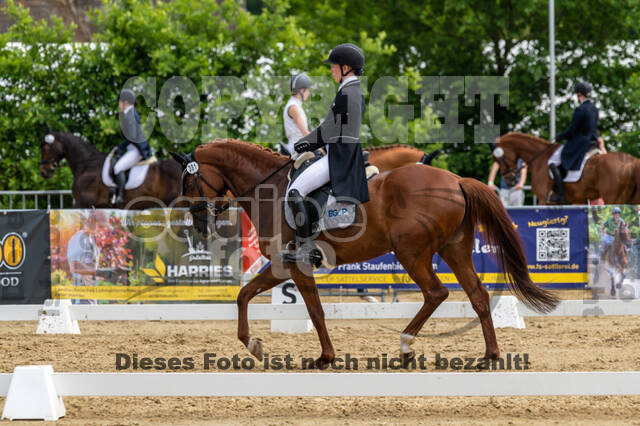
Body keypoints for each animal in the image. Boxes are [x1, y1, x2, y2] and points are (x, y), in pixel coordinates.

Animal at [172, 139, 558, 368]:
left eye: (189, 181)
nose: (199, 222)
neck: (272, 189)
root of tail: (455, 180)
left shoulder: (294, 266)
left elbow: (315, 311)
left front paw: (325, 358)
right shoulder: (281, 266)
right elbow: (244, 294)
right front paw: (254, 345)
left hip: (411, 252)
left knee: (436, 293)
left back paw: (405, 346)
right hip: (454, 249)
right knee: (477, 295)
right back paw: (489, 355)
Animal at [493, 132, 640, 204]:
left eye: (498, 159)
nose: (510, 180)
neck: (540, 157)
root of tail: (631, 161)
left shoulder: (544, 200)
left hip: (613, 199)